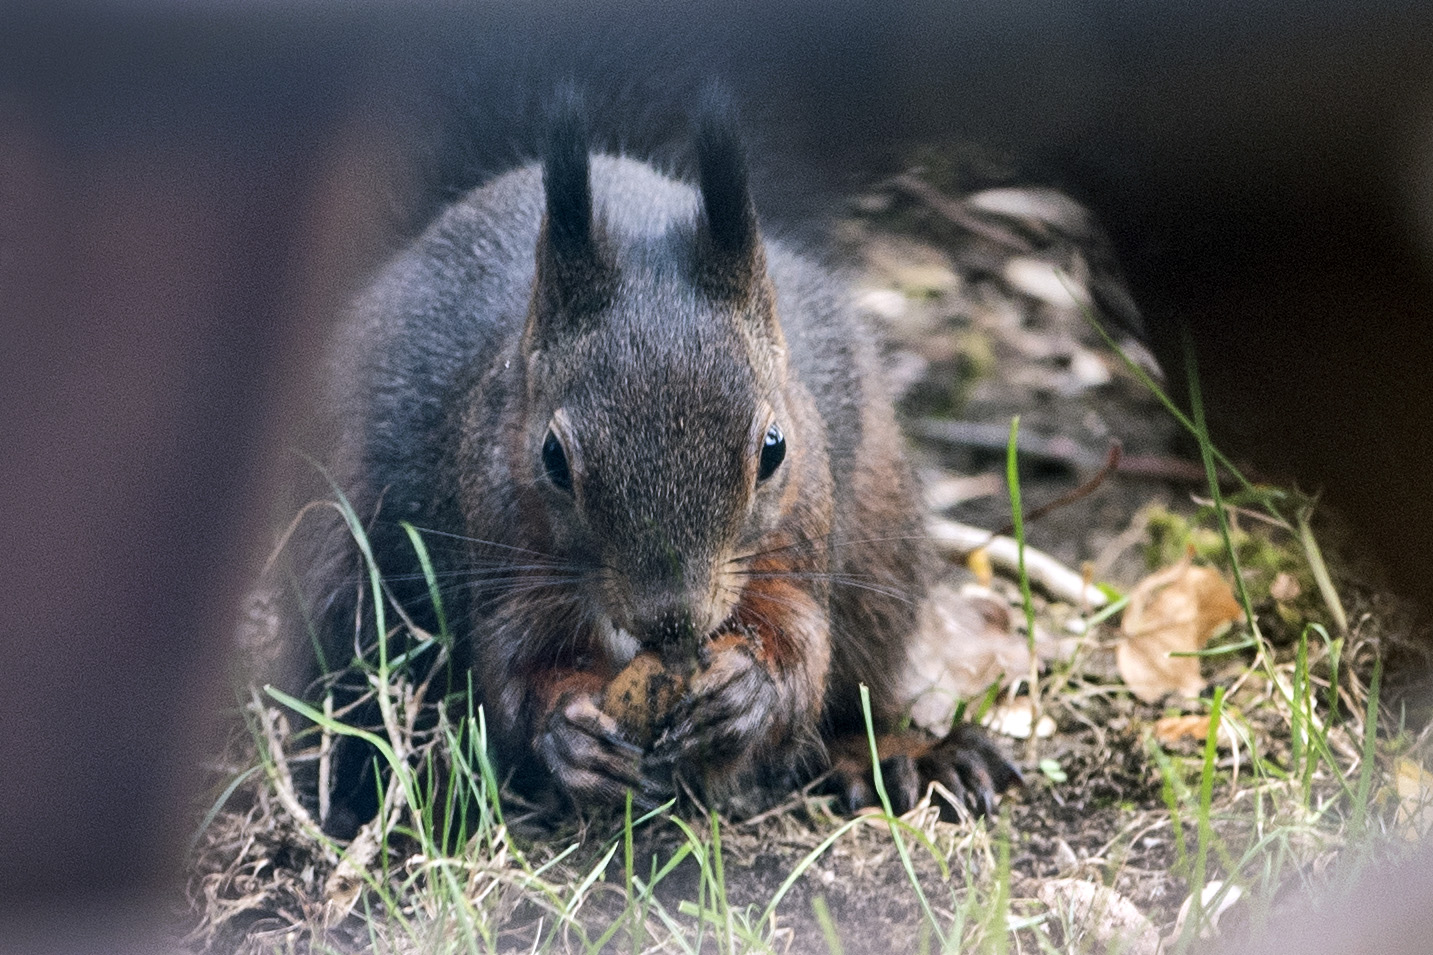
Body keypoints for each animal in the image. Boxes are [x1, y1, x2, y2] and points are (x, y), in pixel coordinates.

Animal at [299, 93, 1020, 831]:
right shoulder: (505, 546)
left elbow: (801, 641)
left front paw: (750, 692)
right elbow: (513, 670)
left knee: (858, 684)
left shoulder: (797, 533)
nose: (671, 620)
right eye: (552, 457)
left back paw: (901, 754)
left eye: (774, 447)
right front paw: (568, 735)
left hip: (879, 553)